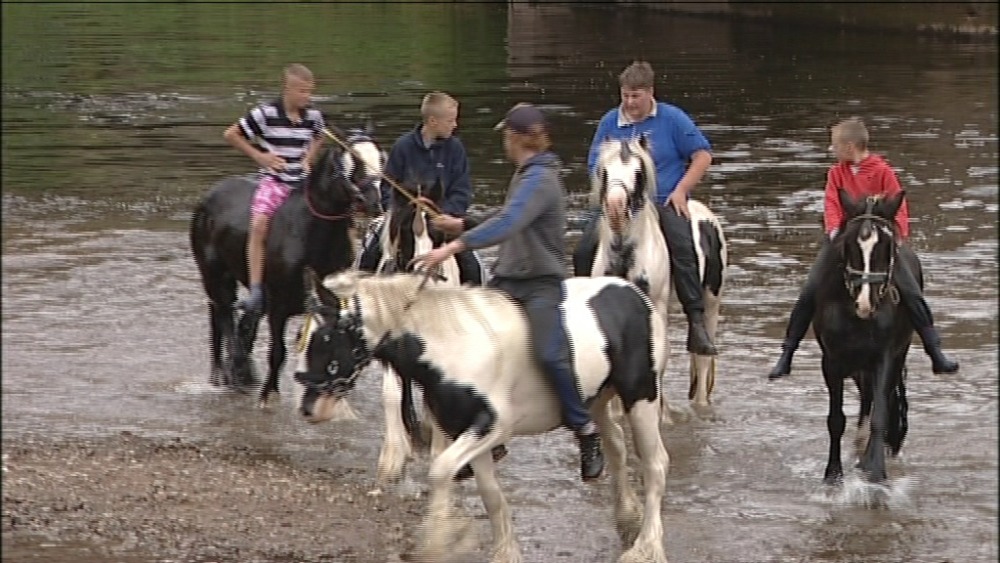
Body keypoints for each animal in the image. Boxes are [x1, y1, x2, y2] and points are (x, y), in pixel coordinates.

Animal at [189, 128, 384, 408]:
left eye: (381, 158)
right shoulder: (278, 306)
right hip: (213, 274)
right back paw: (237, 371)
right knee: (225, 315)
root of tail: (210, 195)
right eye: (352, 161)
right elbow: (277, 352)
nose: (373, 203)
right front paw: (268, 395)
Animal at [296, 272, 672, 563]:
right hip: (597, 398)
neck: (452, 347)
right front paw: (503, 552)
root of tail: (634, 292)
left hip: (641, 396)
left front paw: (439, 541)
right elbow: (491, 496)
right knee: (616, 445)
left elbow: (440, 471)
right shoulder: (469, 431)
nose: (309, 409)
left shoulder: (491, 427)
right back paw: (626, 518)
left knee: (655, 465)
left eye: (326, 337)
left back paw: (645, 547)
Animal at [812, 189, 916, 484]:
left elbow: (880, 414)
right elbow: (836, 419)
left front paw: (876, 470)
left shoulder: (885, 359)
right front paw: (833, 474)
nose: (865, 303)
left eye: (886, 246)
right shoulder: (831, 362)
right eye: (849, 245)